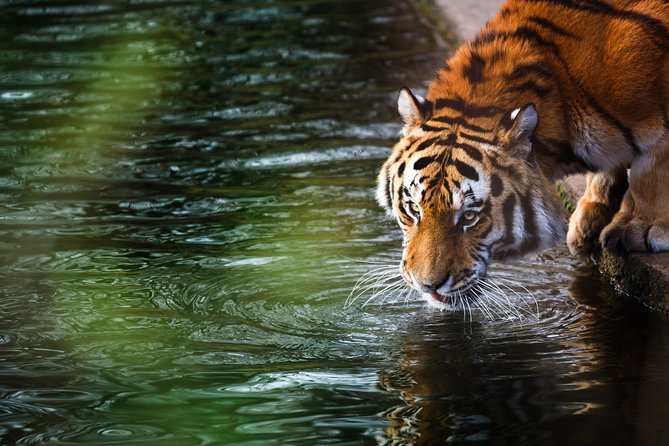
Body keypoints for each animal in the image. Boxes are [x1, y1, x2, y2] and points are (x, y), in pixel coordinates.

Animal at [376, 0, 669, 310]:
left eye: (470, 217)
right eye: (412, 209)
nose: (427, 286)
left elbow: (652, 169)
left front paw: (640, 227)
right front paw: (589, 217)